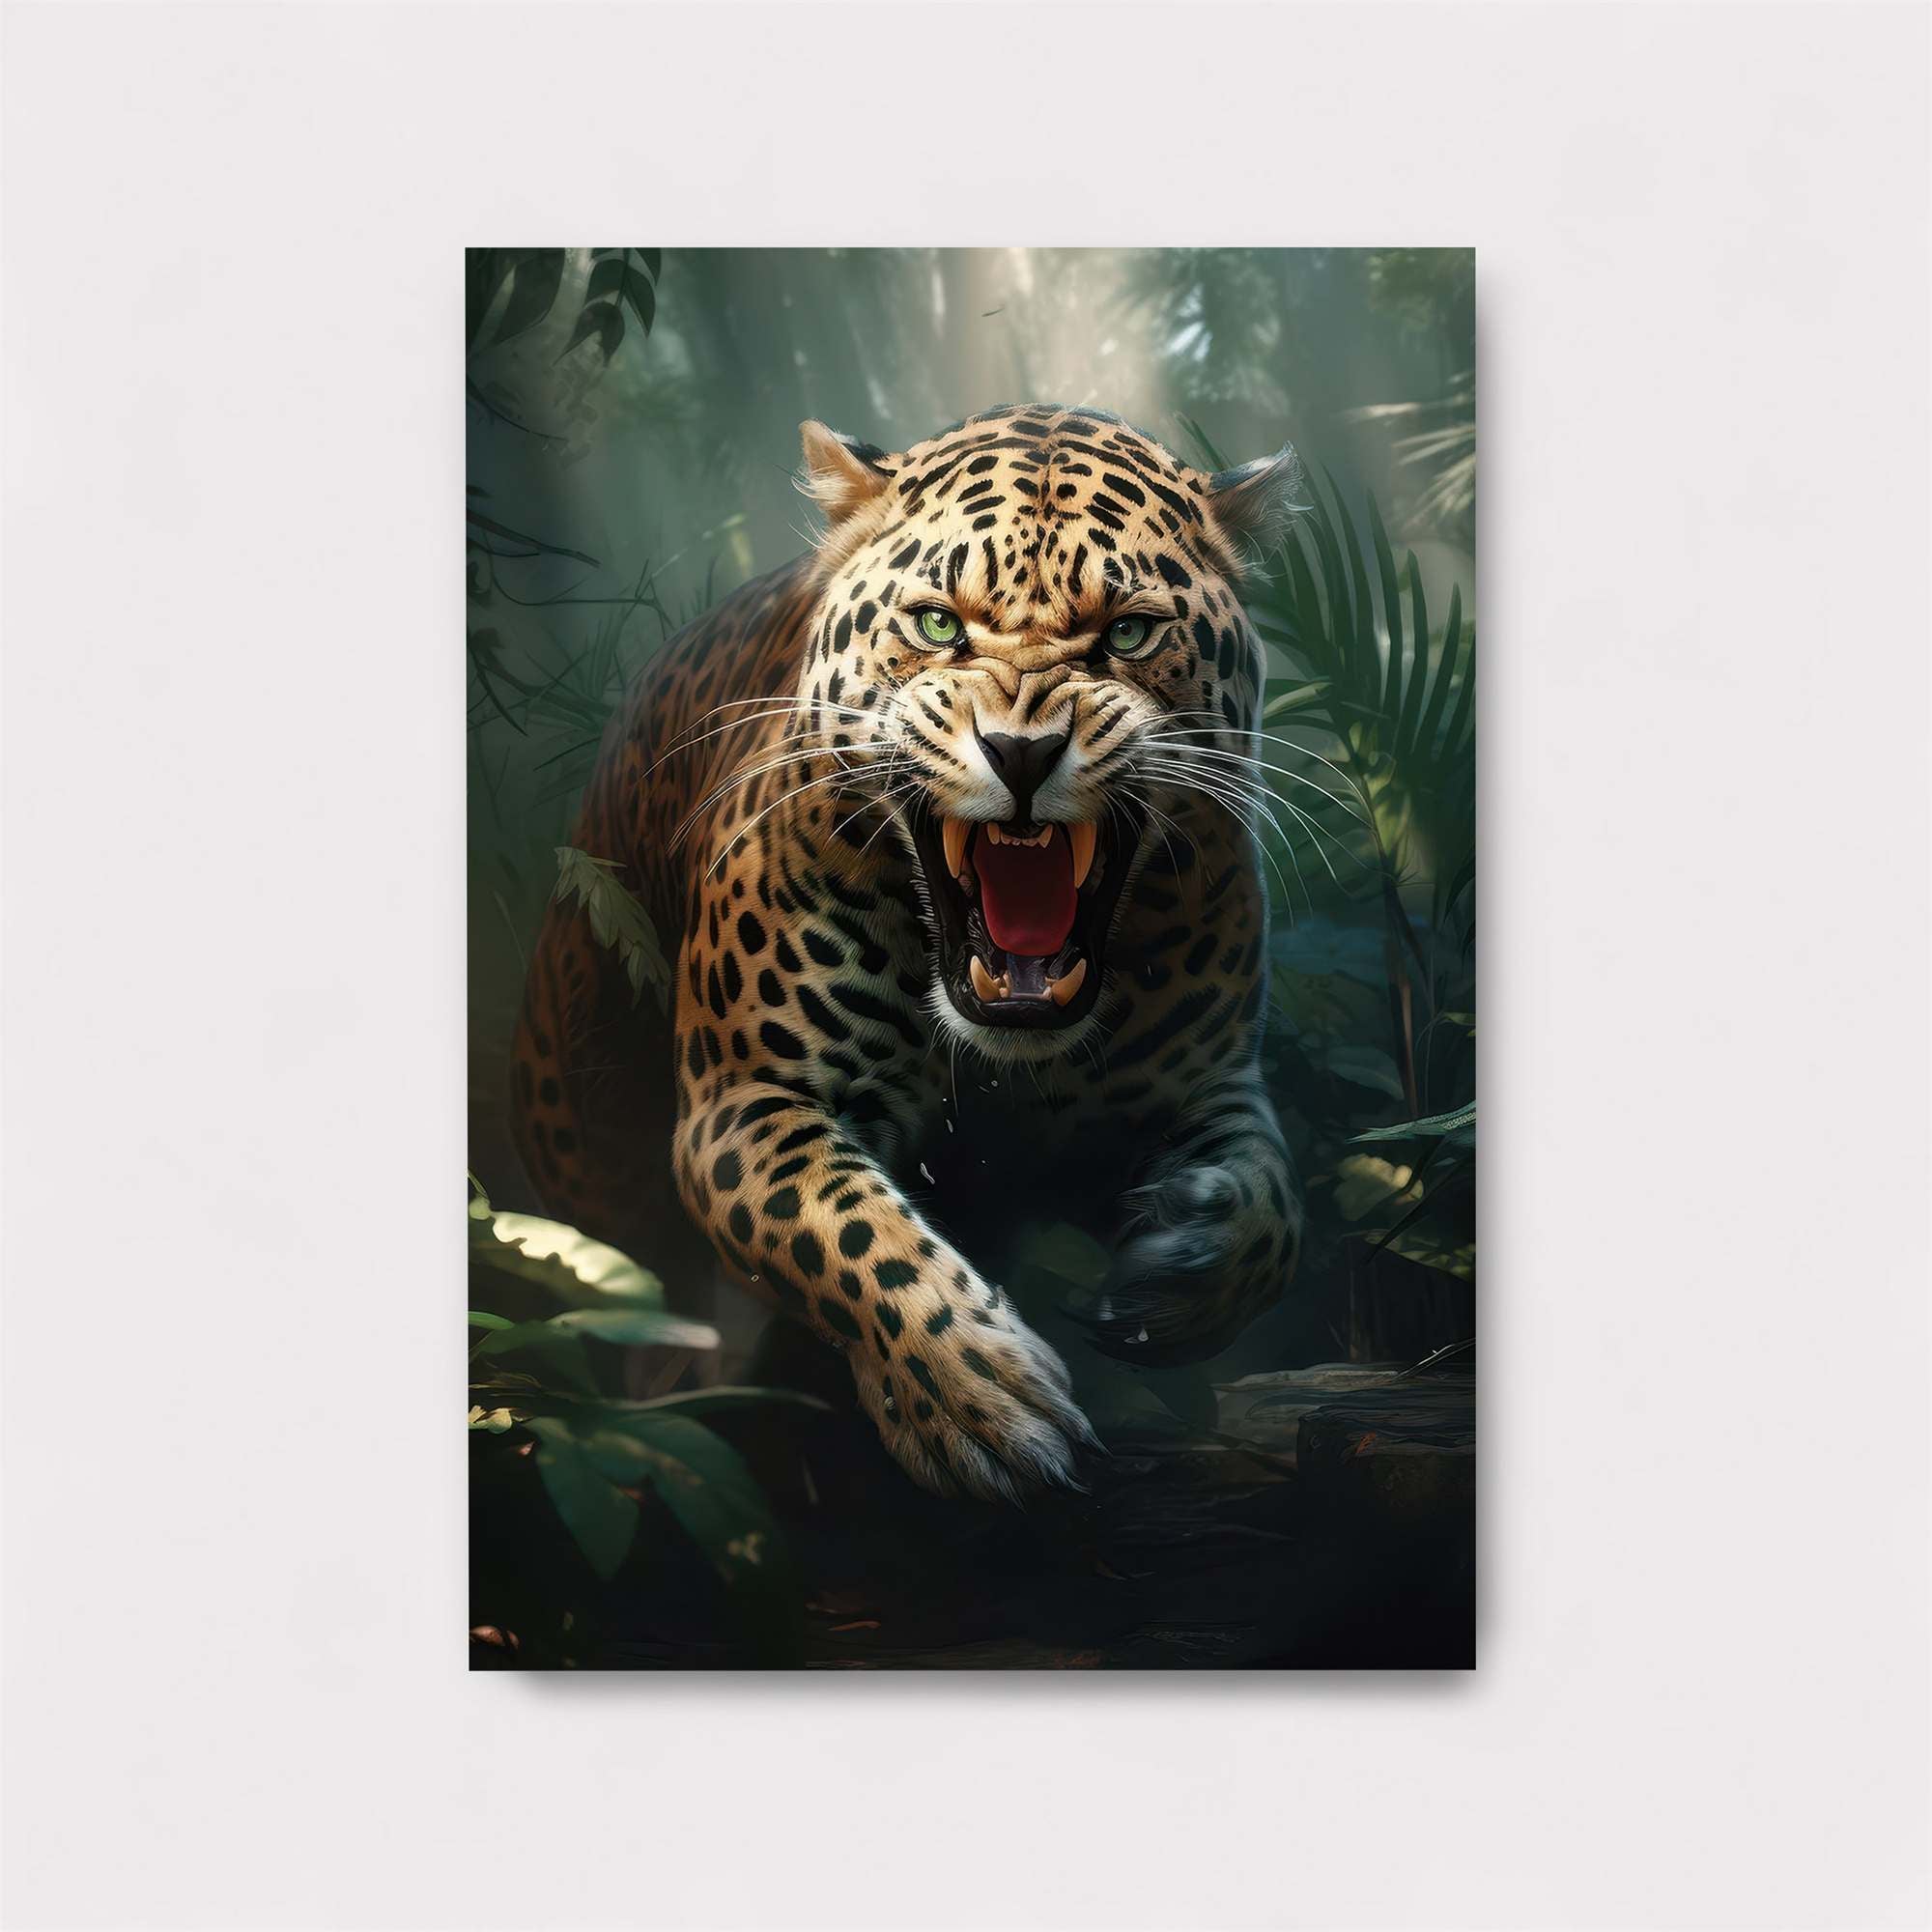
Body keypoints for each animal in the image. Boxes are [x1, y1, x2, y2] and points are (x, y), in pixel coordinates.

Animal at [509, 403, 1305, 1503]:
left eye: (1129, 632)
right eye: (937, 625)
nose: (1021, 753)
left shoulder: (1208, 1082)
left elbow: (1273, 1208)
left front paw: (1182, 1263)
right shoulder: (744, 1100)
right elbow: (847, 1231)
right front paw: (977, 1399)